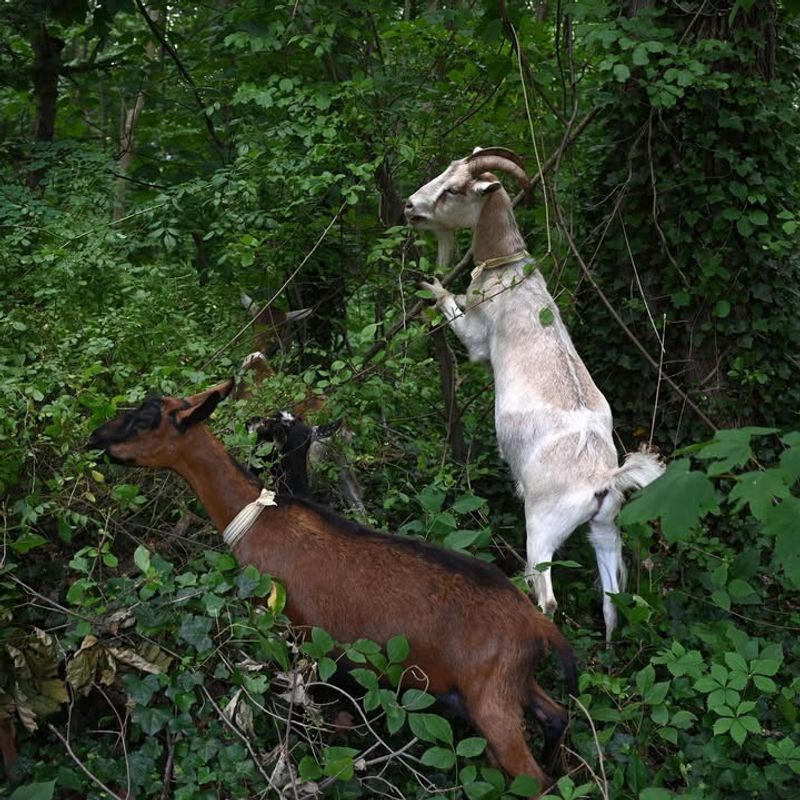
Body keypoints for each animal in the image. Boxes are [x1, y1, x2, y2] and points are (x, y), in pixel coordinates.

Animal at [89, 379, 576, 793]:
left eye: (144, 420)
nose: (96, 437)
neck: (258, 516)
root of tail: (536, 625)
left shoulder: (287, 628)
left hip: (490, 702)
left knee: (533, 779)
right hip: (513, 682)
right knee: (556, 716)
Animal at [406, 147, 665, 641]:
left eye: (454, 190)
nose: (411, 206)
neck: (509, 273)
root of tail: (604, 479)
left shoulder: (476, 337)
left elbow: (453, 311)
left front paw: (430, 285)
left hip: (541, 526)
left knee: (547, 595)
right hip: (606, 529)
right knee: (612, 602)